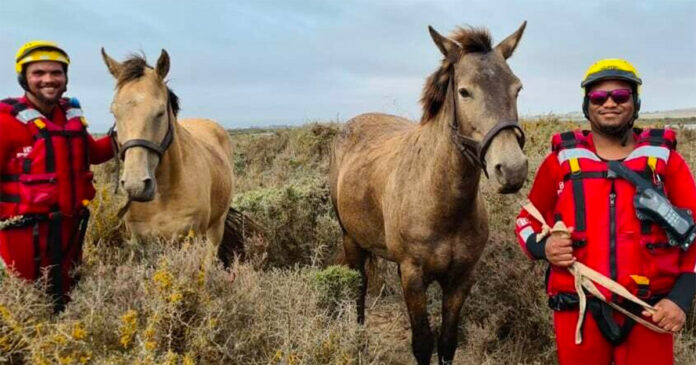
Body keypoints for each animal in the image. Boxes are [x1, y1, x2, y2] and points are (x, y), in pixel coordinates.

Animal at [99, 49, 238, 260]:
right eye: (114, 112)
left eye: (160, 113)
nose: (136, 186)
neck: (163, 196)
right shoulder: (137, 240)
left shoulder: (188, 240)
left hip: (216, 227)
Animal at [330, 23, 528, 364]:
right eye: (464, 91)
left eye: (517, 88)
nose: (512, 169)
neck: (441, 202)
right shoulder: (412, 276)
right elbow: (423, 342)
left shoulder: (461, 279)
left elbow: (447, 342)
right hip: (351, 240)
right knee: (358, 290)